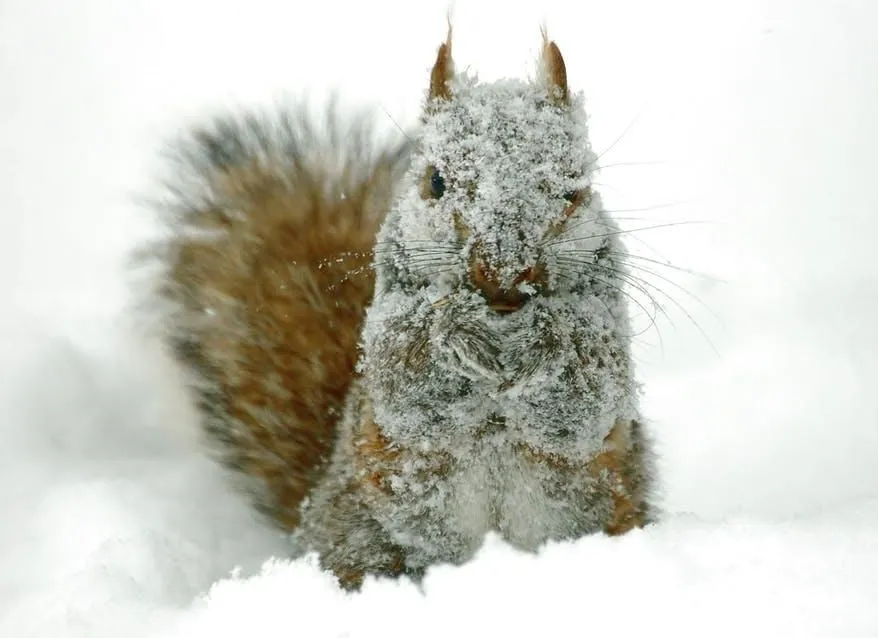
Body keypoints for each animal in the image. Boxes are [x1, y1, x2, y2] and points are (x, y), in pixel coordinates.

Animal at [144, 25, 656, 590]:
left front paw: (550, 333)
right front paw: (453, 326)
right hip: (362, 535)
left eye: (574, 189)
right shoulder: (388, 341)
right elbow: (413, 389)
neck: (503, 333)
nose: (504, 278)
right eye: (435, 181)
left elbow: (581, 403)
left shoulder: (607, 339)